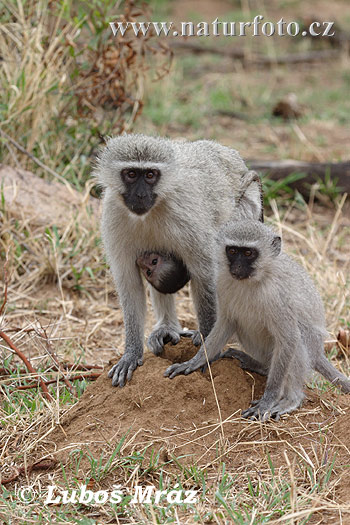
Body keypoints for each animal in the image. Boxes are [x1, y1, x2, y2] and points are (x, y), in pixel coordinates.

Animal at [95, 133, 262, 386]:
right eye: (131, 174)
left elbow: (205, 274)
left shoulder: (186, 216)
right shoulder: (113, 212)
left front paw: (205, 351)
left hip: (246, 206)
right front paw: (131, 353)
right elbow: (129, 285)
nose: (140, 195)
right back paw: (166, 328)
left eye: (150, 175)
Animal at [165, 219, 350, 420]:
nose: (237, 268)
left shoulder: (278, 296)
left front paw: (268, 400)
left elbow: (289, 338)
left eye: (248, 253)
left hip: (309, 346)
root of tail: (317, 353)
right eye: (232, 251)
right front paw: (194, 361)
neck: (254, 280)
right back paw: (260, 366)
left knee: (297, 338)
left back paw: (291, 398)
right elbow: (225, 323)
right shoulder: (221, 282)